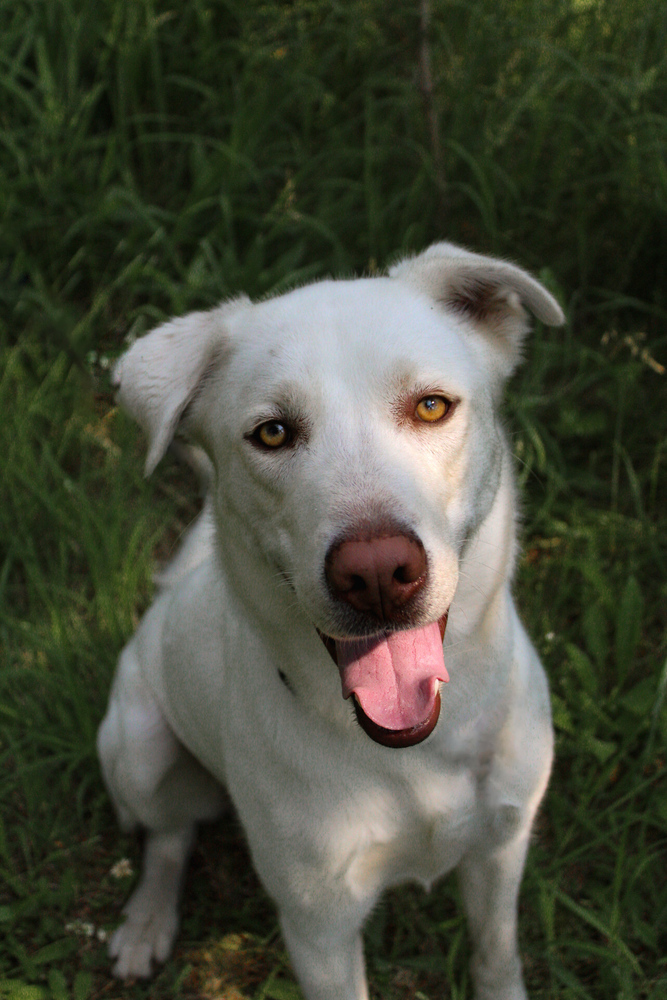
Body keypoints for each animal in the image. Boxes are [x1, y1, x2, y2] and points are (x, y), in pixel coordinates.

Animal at [99, 244, 564, 1000]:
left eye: (431, 406)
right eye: (272, 432)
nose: (375, 573)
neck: (415, 751)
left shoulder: (501, 849)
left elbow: (497, 958)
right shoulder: (319, 928)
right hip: (135, 749)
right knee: (168, 838)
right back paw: (146, 921)